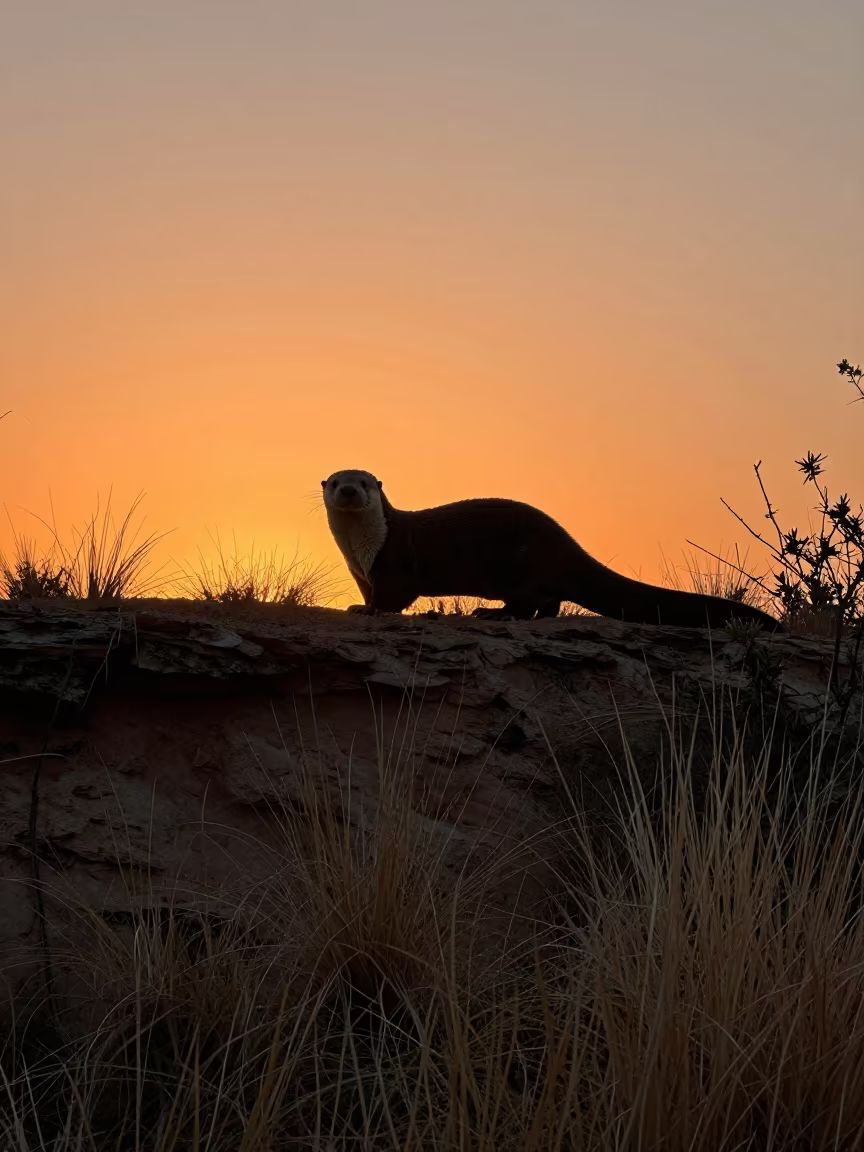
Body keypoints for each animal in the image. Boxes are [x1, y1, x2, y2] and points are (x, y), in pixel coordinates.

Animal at [321, 468, 782, 630]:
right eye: (336, 480)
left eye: (364, 482)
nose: (348, 490)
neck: (362, 549)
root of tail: (564, 541)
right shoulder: (361, 571)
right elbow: (370, 593)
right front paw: (359, 605)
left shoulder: (393, 562)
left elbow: (391, 598)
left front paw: (366, 610)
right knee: (552, 603)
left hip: (522, 566)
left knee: (527, 603)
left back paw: (494, 613)